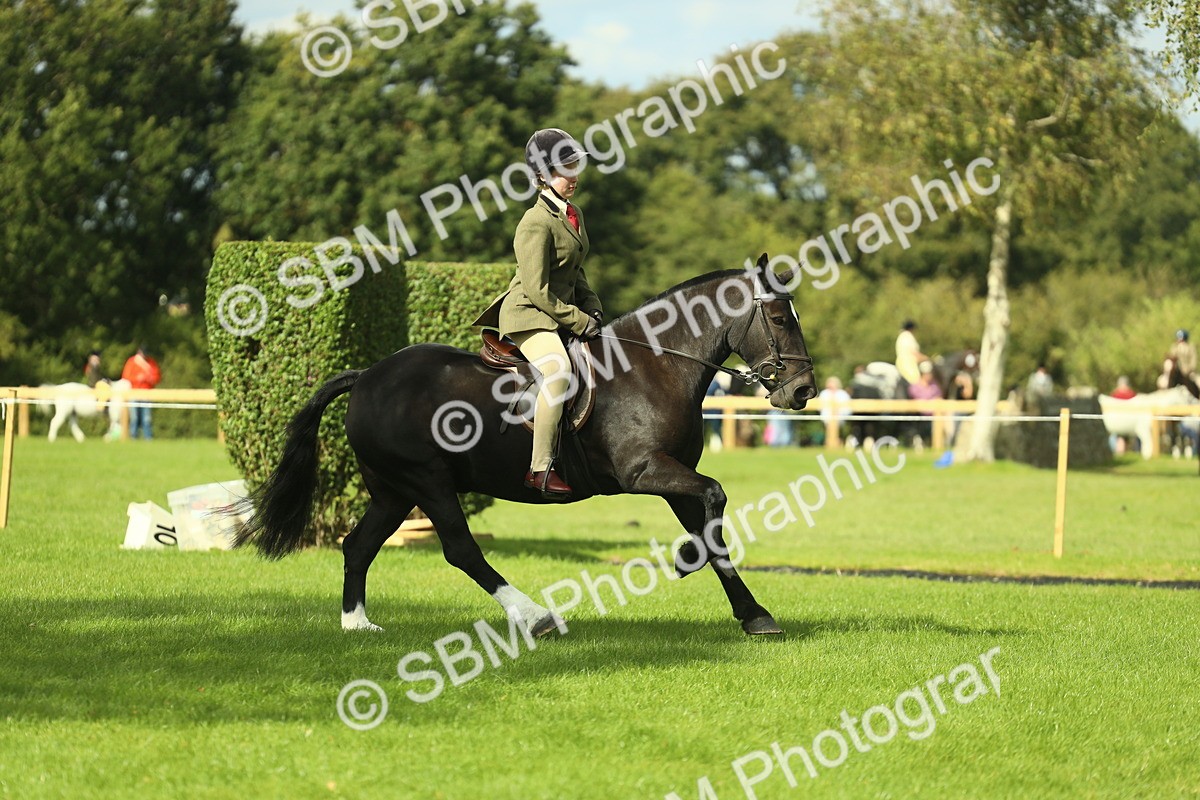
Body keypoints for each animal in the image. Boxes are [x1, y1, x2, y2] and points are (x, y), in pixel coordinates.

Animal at [232, 256, 817, 637]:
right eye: (779, 317)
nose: (803, 392)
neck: (655, 364)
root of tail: (369, 375)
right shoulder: (643, 470)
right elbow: (716, 494)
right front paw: (685, 563)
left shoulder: (672, 475)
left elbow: (713, 530)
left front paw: (753, 614)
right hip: (427, 481)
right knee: (461, 550)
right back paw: (536, 618)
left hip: (394, 491)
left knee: (358, 546)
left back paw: (357, 624)